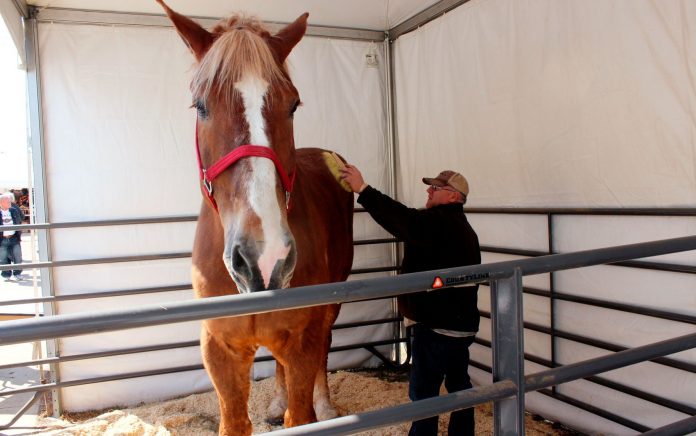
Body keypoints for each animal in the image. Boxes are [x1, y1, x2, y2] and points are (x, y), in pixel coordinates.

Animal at [156, 2, 355, 434]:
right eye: (201, 105)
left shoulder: (303, 340)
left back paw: (326, 404)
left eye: (293, 105)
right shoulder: (220, 351)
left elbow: (302, 409)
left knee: (326, 345)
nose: (265, 260)